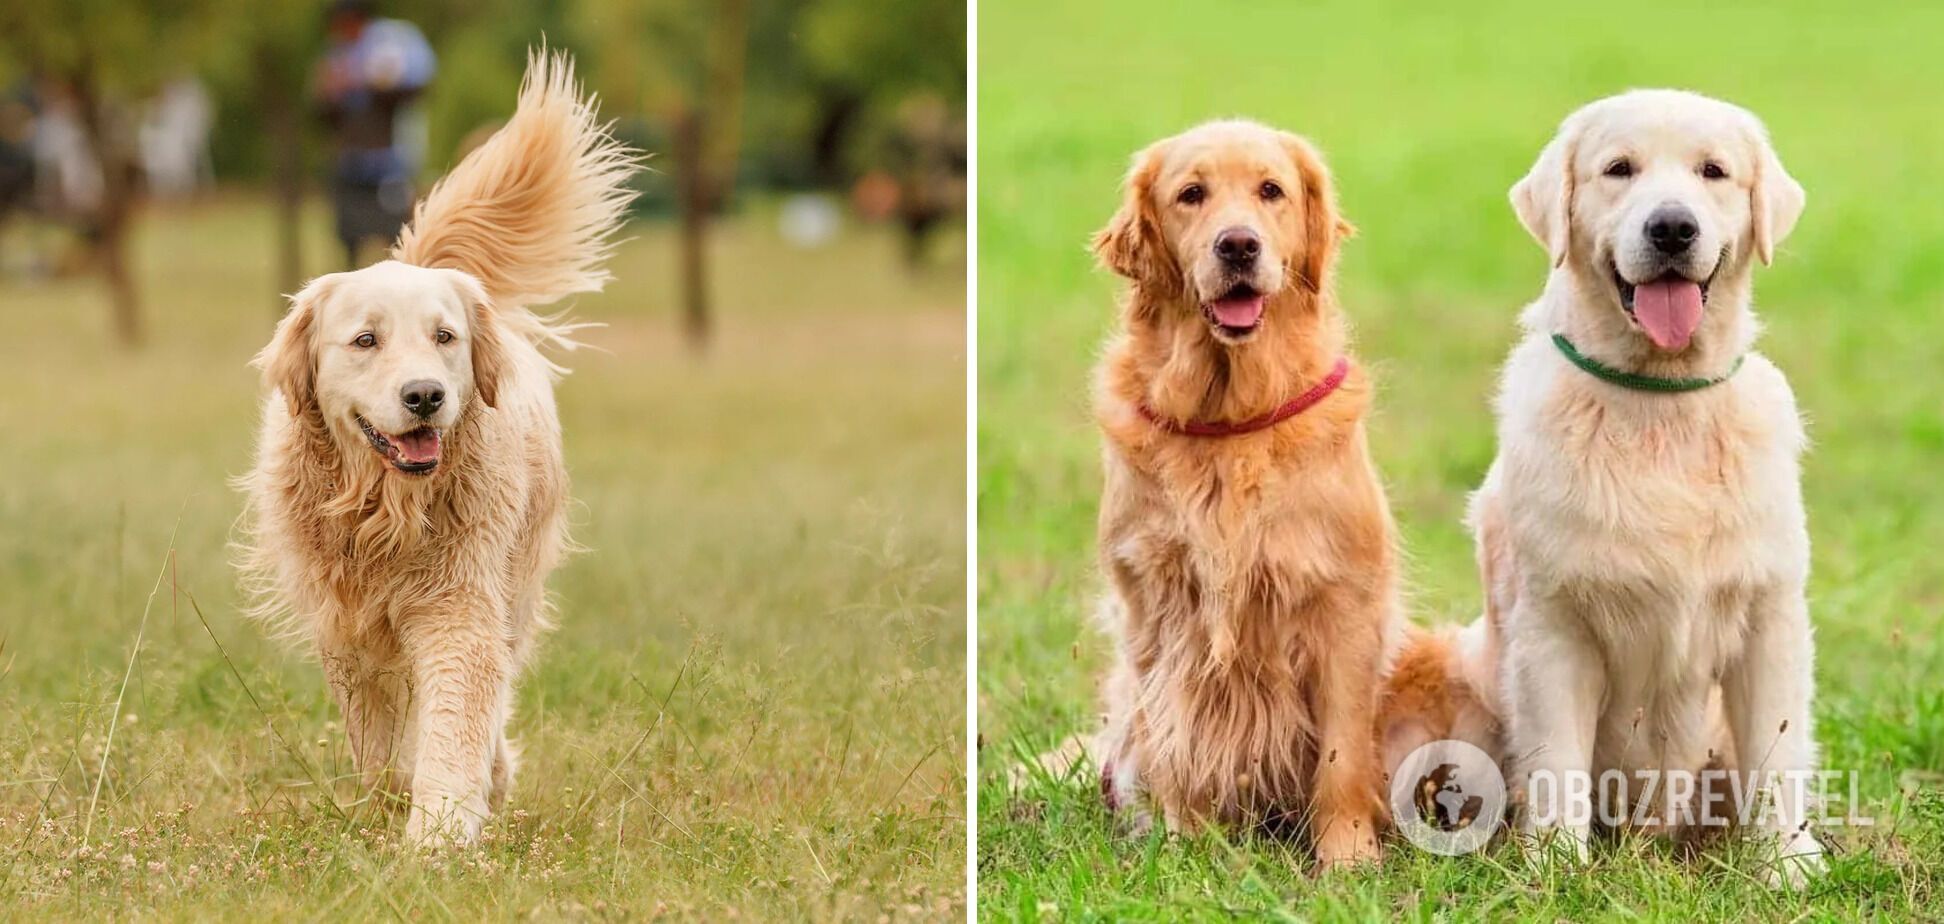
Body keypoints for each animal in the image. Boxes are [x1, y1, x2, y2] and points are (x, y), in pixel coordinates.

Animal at [232, 50, 633, 848]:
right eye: (365, 340)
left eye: (445, 337)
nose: (424, 396)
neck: (385, 507)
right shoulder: (348, 625)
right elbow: (379, 743)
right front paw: (401, 806)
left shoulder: (459, 604)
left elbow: (455, 717)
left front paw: (442, 830)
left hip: (518, 580)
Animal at [1384, 88, 1819, 890]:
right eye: (1619, 169)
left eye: (1714, 171)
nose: (1672, 227)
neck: (1660, 402)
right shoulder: (1555, 626)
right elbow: (1557, 761)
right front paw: (1555, 865)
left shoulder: (1770, 616)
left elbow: (1777, 753)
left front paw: (1787, 865)